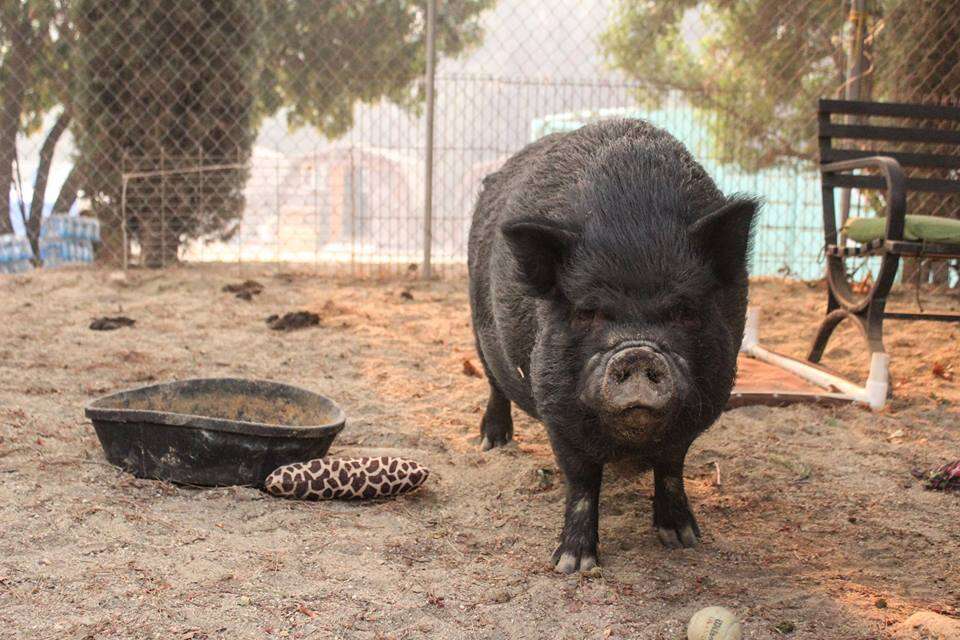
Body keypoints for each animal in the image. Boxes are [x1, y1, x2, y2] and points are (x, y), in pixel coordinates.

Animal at [468, 117, 760, 572]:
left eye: (684, 309)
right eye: (588, 311)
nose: (637, 351)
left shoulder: (701, 406)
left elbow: (671, 468)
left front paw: (683, 540)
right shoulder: (556, 408)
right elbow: (581, 481)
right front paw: (572, 565)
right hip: (479, 336)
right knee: (495, 386)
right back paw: (493, 443)